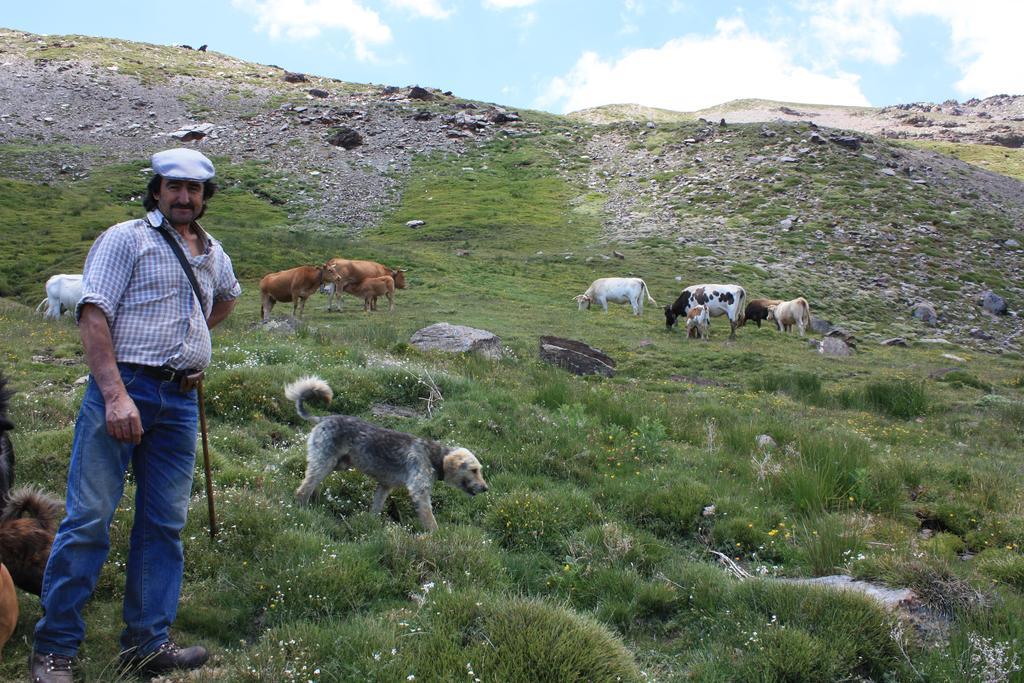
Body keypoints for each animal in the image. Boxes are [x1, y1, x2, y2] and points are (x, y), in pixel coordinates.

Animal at [286, 376, 489, 532]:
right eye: (473, 470)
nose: (485, 488)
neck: (434, 457)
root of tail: (321, 419)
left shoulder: (385, 486)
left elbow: (376, 508)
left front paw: (371, 524)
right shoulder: (420, 493)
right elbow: (431, 522)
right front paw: (437, 537)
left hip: (336, 464)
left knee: (310, 482)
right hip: (325, 461)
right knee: (303, 489)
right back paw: (302, 508)